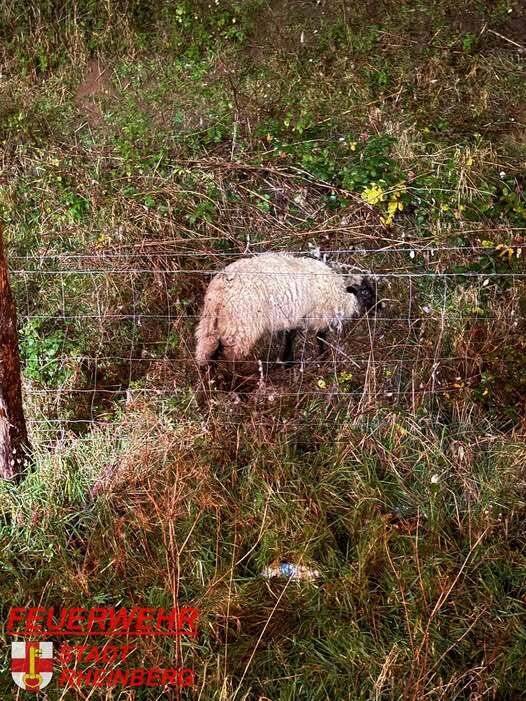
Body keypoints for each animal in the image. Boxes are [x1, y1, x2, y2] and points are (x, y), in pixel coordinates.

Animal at [195, 252, 378, 367]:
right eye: (366, 292)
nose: (379, 308)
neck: (340, 294)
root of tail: (219, 292)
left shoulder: (295, 316)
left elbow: (290, 336)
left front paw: (286, 361)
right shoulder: (317, 316)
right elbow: (320, 337)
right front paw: (321, 357)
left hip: (211, 325)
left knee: (209, 351)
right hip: (241, 327)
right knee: (229, 357)